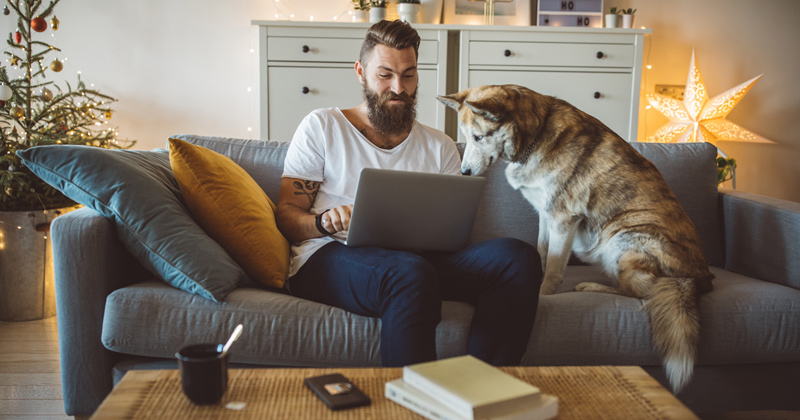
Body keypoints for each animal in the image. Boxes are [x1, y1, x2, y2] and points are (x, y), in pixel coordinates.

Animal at [440, 85, 716, 394]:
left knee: (641, 293)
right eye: (465, 138)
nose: (463, 173)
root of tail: (696, 278)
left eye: (478, 137)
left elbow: (554, 268)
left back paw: (590, 285)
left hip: (621, 237)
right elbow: (542, 252)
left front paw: (542, 294)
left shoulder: (563, 218)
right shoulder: (545, 214)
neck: (535, 135)